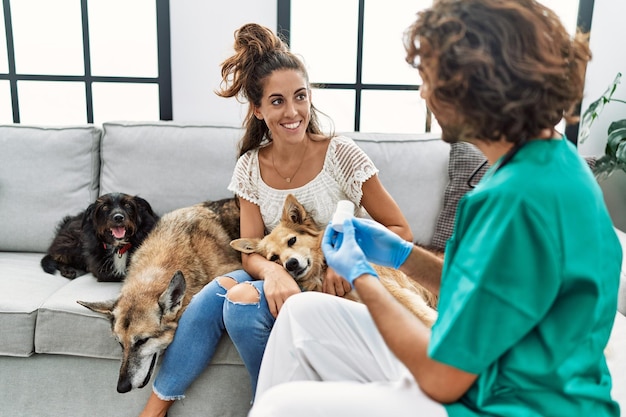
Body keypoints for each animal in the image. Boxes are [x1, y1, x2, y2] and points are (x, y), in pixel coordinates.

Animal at [230, 193, 438, 326]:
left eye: (292, 240)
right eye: (273, 258)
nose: (291, 264)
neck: (321, 270)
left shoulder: (395, 293)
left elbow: (425, 317)